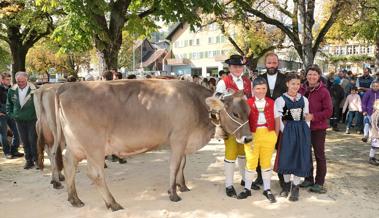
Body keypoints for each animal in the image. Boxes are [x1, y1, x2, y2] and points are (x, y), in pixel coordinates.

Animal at [55, 80, 252, 211]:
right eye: (235, 113)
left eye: (249, 111)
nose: (248, 138)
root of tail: (68, 86)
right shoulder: (179, 138)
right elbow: (174, 165)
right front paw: (173, 193)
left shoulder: (183, 141)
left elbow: (182, 164)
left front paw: (182, 186)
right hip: (94, 146)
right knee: (95, 173)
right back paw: (113, 203)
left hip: (75, 144)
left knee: (69, 163)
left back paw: (74, 199)